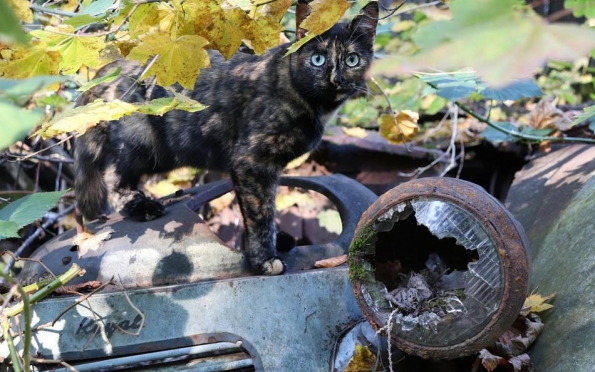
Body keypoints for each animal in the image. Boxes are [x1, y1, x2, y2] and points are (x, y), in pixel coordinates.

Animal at [74, 0, 380, 276]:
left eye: (352, 59)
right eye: (318, 59)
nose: (335, 79)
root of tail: (104, 72)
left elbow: (261, 207)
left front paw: (275, 241)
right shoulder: (251, 160)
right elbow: (260, 213)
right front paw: (263, 260)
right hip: (142, 143)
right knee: (114, 179)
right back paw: (141, 206)